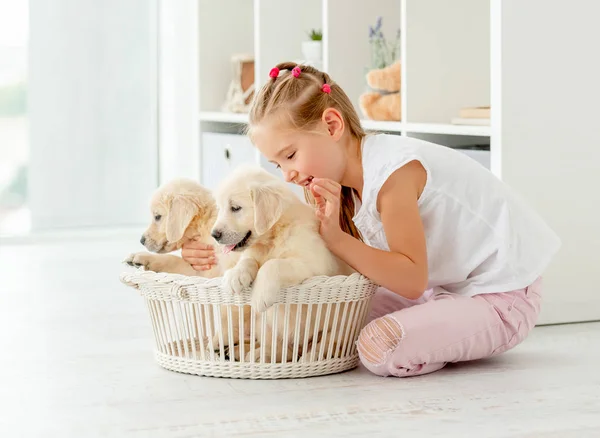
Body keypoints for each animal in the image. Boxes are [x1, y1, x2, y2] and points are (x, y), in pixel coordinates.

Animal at [211, 165, 354, 362]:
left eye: (235, 208)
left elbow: (272, 264)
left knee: (322, 345)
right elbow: (248, 260)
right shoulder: (253, 253)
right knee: (277, 348)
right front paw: (235, 276)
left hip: (338, 326)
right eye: (220, 208)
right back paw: (241, 351)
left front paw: (260, 295)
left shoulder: (314, 264)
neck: (270, 240)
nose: (214, 235)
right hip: (266, 325)